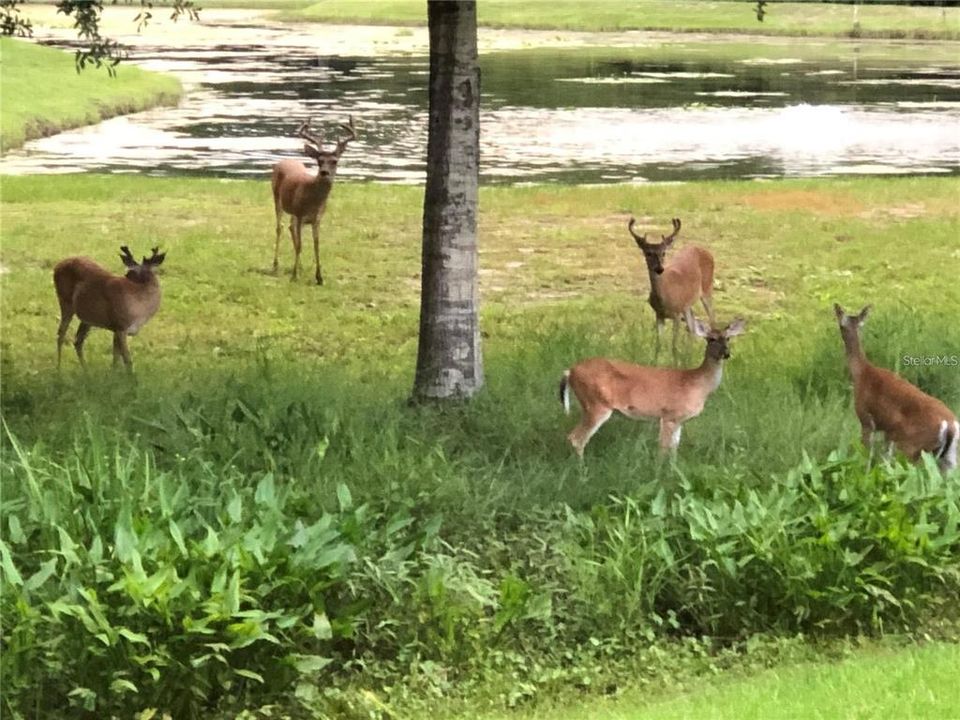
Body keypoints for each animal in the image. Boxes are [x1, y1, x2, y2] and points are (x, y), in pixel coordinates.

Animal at [270, 115, 356, 284]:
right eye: (319, 161)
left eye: (335, 161)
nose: (324, 172)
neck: (314, 200)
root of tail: (283, 161)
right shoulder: (301, 215)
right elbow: (300, 245)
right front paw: (294, 276)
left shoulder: (317, 219)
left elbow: (316, 245)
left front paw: (319, 277)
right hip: (277, 198)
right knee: (280, 227)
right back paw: (276, 265)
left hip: (293, 211)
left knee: (290, 227)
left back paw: (300, 266)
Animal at [560, 316, 748, 456]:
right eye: (711, 339)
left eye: (728, 338)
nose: (726, 353)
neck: (697, 383)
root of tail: (570, 371)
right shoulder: (669, 414)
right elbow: (663, 449)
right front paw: (661, 474)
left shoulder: (679, 420)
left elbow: (674, 449)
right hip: (596, 404)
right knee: (576, 438)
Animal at [628, 214, 716, 360]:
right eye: (648, 253)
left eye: (663, 253)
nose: (659, 269)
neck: (664, 297)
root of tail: (706, 251)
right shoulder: (659, 315)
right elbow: (658, 345)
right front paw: (655, 362)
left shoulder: (676, 314)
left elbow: (674, 346)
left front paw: (674, 362)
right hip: (687, 304)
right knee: (692, 324)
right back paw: (688, 355)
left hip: (707, 288)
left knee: (713, 319)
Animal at [828, 304, 956, 472]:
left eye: (840, 324)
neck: (861, 373)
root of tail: (950, 425)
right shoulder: (888, 431)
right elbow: (885, 461)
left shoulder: (866, 419)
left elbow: (866, 455)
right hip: (947, 457)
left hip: (912, 447)